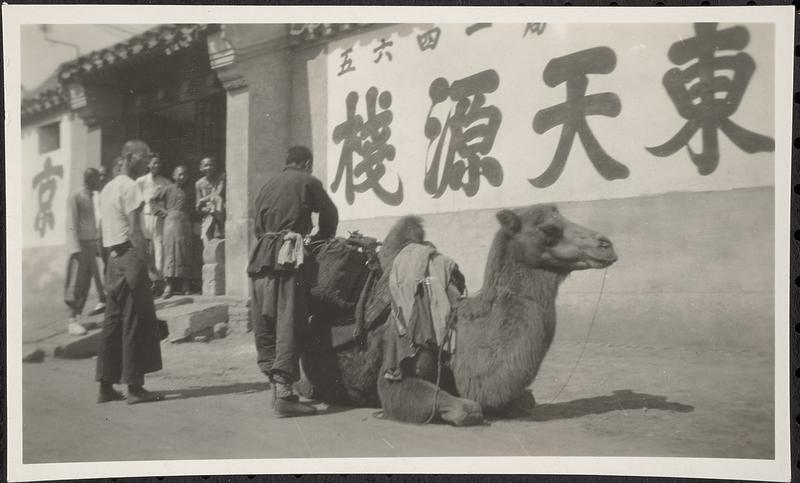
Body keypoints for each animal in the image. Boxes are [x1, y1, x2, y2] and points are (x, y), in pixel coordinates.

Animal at [300, 204, 620, 428]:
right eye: (549, 230)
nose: (606, 244)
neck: (456, 324)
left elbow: (526, 400)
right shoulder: (397, 365)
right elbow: (468, 408)